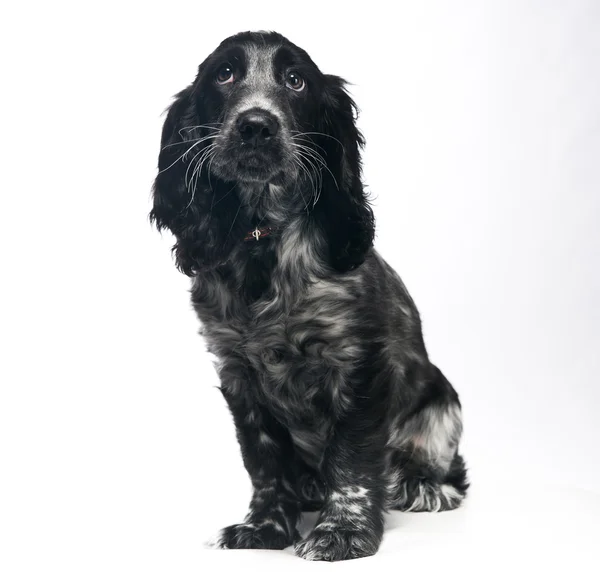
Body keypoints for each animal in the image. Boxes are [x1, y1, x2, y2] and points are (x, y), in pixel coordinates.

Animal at [151, 31, 468, 560]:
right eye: (224, 74)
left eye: (295, 80)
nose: (256, 127)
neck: (265, 239)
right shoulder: (238, 373)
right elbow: (264, 462)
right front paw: (264, 528)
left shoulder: (356, 361)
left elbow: (352, 456)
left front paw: (343, 531)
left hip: (443, 403)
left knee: (449, 471)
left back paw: (421, 486)